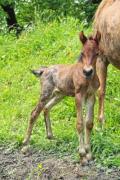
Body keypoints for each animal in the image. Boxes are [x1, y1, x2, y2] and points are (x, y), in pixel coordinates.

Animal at [22, 31, 100, 165]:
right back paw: (25, 146)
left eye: (97, 53)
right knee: (34, 113)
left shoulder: (91, 96)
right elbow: (79, 123)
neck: (88, 79)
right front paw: (82, 155)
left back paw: (50, 135)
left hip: (59, 95)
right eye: (82, 53)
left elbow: (89, 123)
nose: (88, 71)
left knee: (46, 108)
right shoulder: (78, 95)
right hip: (46, 93)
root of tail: (44, 70)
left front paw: (89, 153)